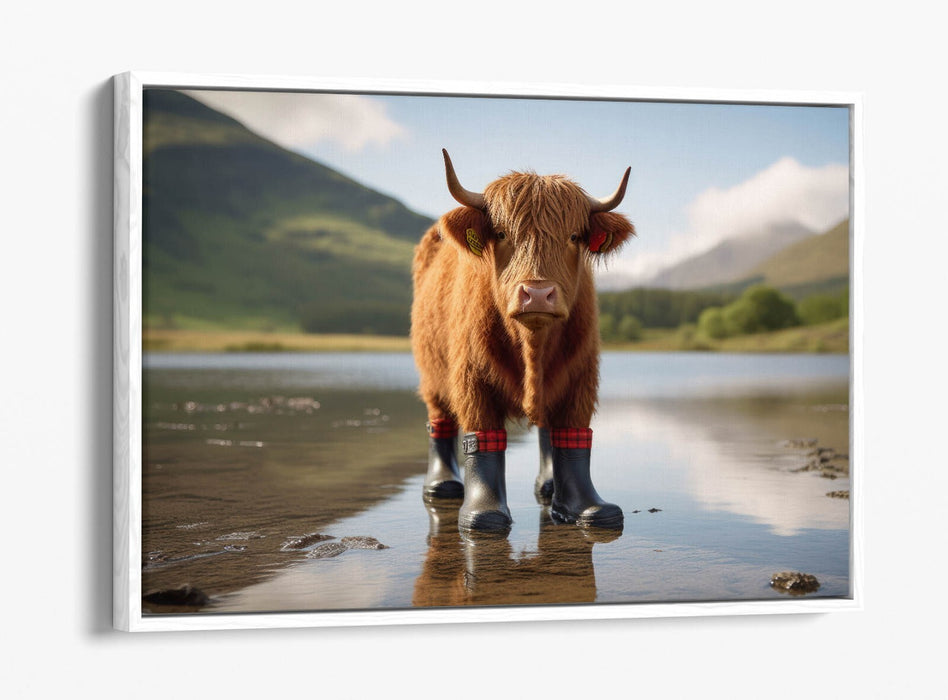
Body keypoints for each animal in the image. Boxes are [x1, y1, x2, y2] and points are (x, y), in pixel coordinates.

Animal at [411, 149, 635, 533]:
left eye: (573, 236)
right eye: (501, 233)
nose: (538, 294)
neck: (532, 343)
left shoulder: (581, 377)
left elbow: (573, 435)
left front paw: (586, 509)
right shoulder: (472, 379)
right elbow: (482, 440)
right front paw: (484, 515)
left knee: (546, 429)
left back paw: (548, 487)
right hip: (431, 377)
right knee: (439, 422)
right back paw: (442, 486)